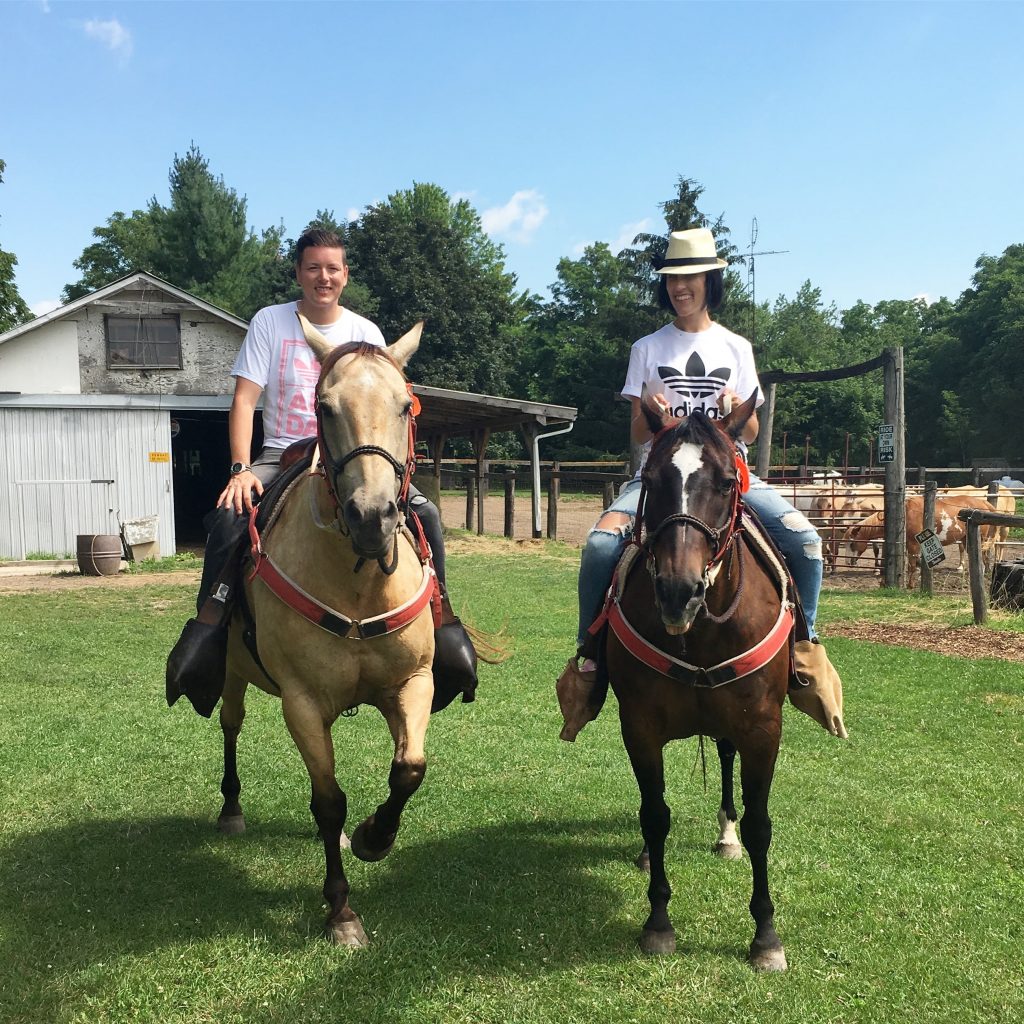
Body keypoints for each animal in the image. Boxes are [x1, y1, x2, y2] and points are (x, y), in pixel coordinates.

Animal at [216, 315, 440, 946]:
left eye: (405, 407)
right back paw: (230, 808)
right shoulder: (303, 702)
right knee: (230, 726)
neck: (357, 581)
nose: (372, 517)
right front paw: (340, 909)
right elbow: (329, 800)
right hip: (232, 675)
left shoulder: (413, 682)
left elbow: (408, 770)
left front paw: (373, 837)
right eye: (326, 407)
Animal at [598, 395, 794, 970]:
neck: (700, 631)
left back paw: (725, 835)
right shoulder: (639, 726)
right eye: (652, 479)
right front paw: (658, 922)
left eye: (728, 481)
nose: (678, 591)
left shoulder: (762, 729)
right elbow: (654, 814)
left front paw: (766, 936)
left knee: (726, 761)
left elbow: (759, 824)